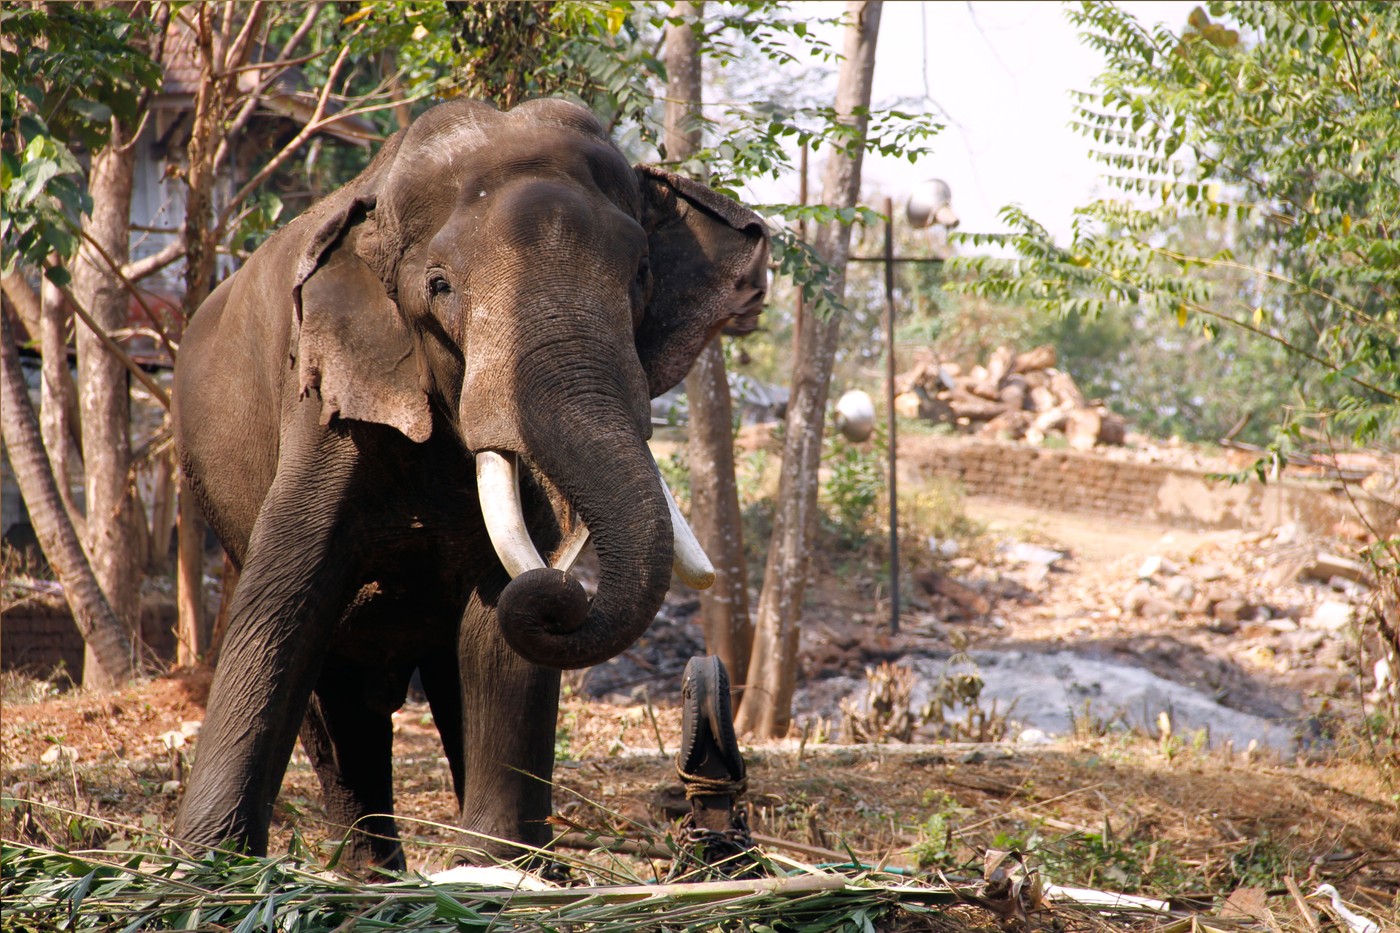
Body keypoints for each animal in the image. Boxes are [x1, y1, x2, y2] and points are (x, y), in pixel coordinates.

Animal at [170, 98, 769, 872]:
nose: (705, 678)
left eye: (641, 274)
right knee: (336, 692)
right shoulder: (327, 400)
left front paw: (501, 859)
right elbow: (283, 597)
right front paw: (204, 864)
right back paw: (369, 871)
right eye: (440, 287)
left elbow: (495, 618)